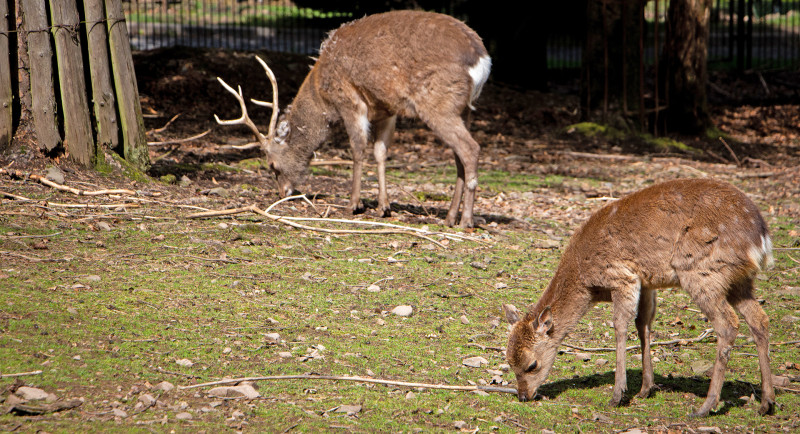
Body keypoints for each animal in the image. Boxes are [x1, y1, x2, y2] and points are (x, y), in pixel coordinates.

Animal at [214, 9, 488, 227]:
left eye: (272, 165)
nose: (283, 192)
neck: (322, 95)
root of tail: (483, 60)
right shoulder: (387, 109)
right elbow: (380, 152)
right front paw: (383, 207)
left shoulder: (349, 100)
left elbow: (357, 149)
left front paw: (353, 204)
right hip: (463, 108)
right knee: (459, 157)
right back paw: (449, 217)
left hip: (438, 102)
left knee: (470, 148)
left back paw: (466, 221)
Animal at [500, 178, 776, 416]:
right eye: (509, 362)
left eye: (532, 365)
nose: (523, 395)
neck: (586, 281)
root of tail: (761, 238)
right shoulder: (646, 282)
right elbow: (643, 324)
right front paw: (645, 389)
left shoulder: (622, 277)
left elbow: (621, 326)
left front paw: (618, 394)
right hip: (740, 280)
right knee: (759, 319)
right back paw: (767, 403)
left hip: (702, 271)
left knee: (728, 324)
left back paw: (706, 407)